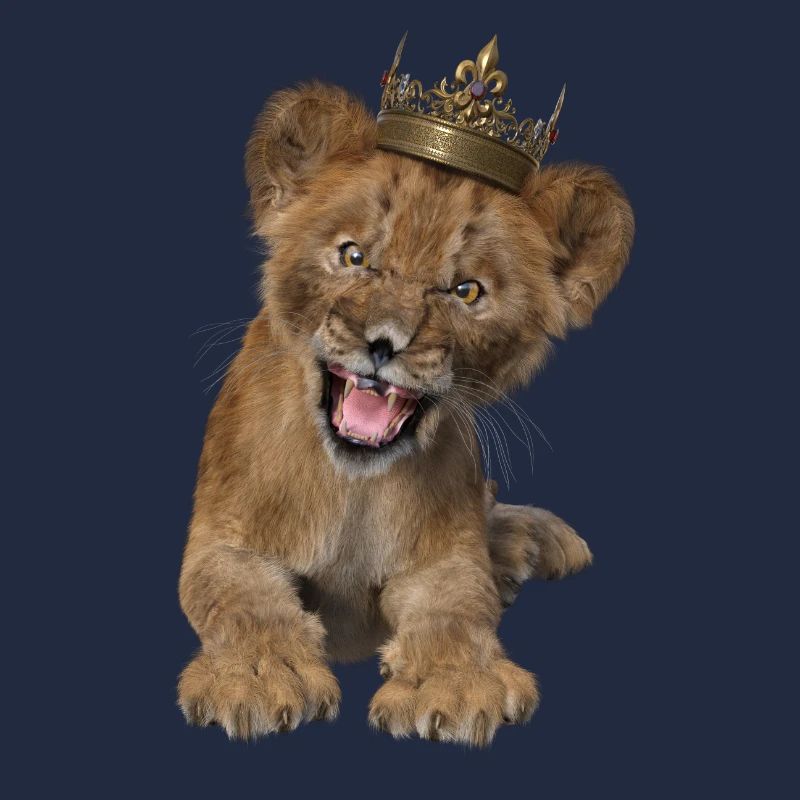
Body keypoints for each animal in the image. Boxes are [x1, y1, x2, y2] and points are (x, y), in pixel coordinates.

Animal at [177, 82, 634, 746]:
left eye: (466, 291)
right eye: (354, 256)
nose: (384, 343)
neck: (353, 487)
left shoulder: (445, 557)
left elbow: (456, 609)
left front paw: (456, 685)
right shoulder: (223, 538)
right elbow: (241, 599)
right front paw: (260, 677)